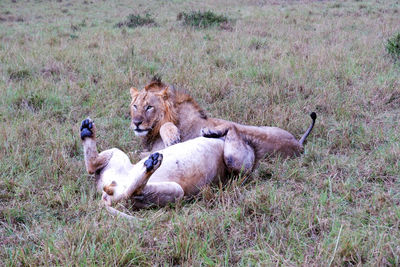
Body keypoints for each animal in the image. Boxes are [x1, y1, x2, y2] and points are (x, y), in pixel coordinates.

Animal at [130, 77, 318, 174]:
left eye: (149, 107)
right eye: (135, 106)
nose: (136, 123)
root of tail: (297, 144)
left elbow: (136, 153)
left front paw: (171, 134)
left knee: (232, 128)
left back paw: (211, 131)